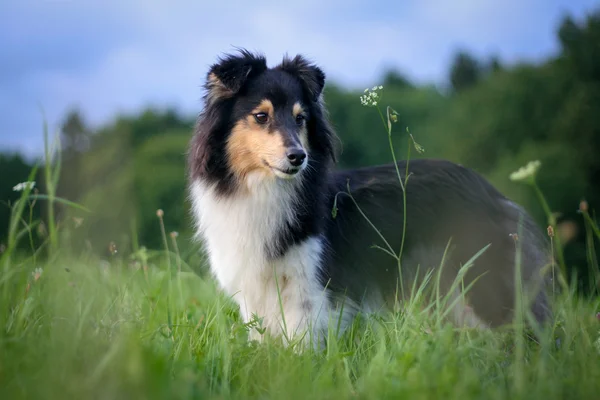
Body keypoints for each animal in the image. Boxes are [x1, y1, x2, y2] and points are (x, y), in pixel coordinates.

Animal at [188, 49, 552, 350]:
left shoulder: (311, 289)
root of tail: (493, 191)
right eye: (261, 116)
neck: (263, 188)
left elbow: (302, 345)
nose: (298, 157)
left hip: (483, 284)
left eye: (301, 118)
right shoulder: (255, 290)